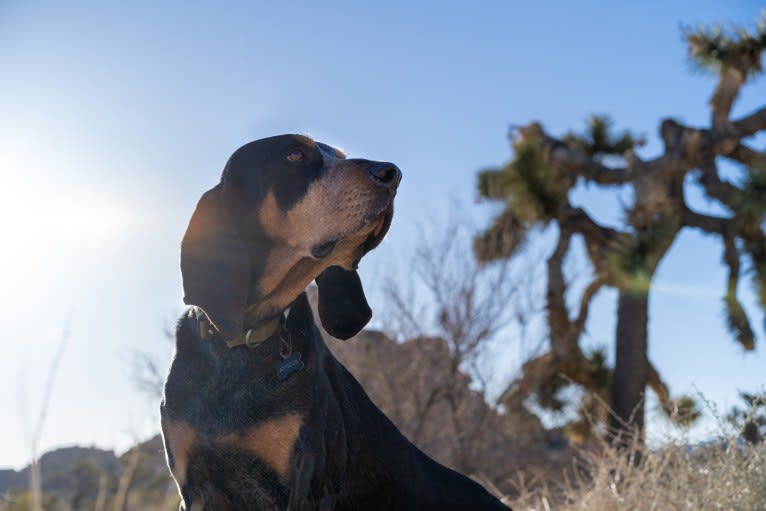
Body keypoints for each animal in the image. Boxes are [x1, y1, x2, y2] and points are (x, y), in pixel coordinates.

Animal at [160, 134, 510, 510]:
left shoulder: (303, 485)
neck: (241, 346)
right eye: (294, 154)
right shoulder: (195, 489)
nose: (392, 174)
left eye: (340, 156)